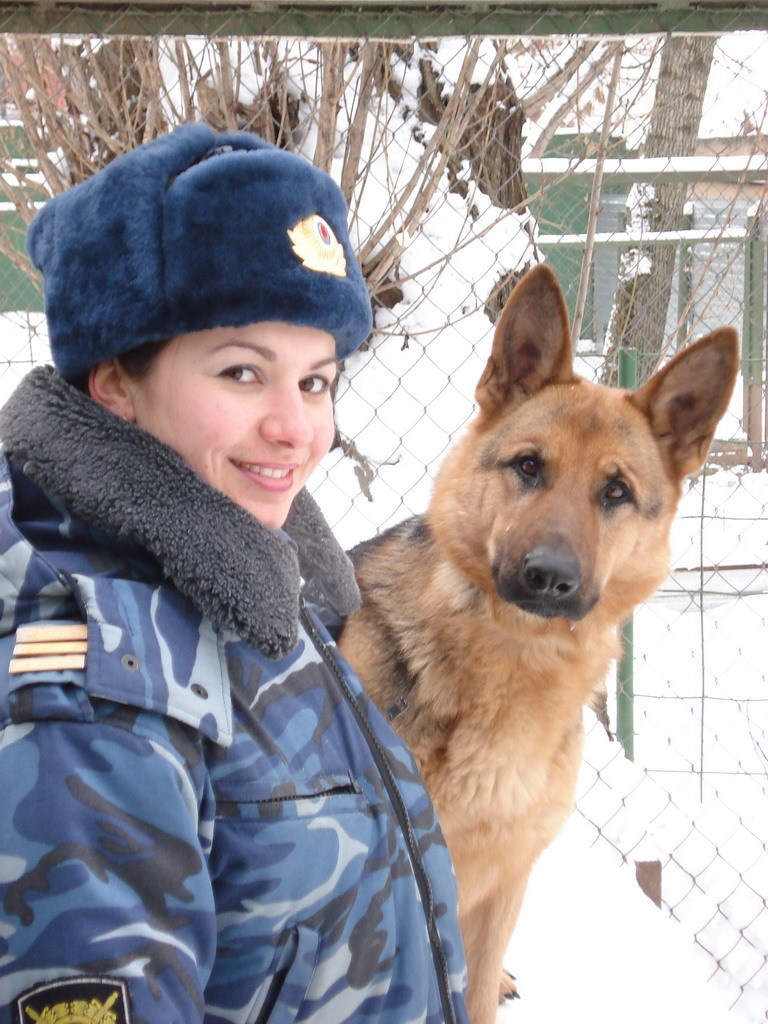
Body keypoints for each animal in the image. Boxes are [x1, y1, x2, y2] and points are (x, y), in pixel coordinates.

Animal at [338, 263, 739, 1024]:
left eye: (616, 492)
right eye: (528, 467)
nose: (548, 577)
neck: (517, 659)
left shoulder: (507, 876)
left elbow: (475, 997)